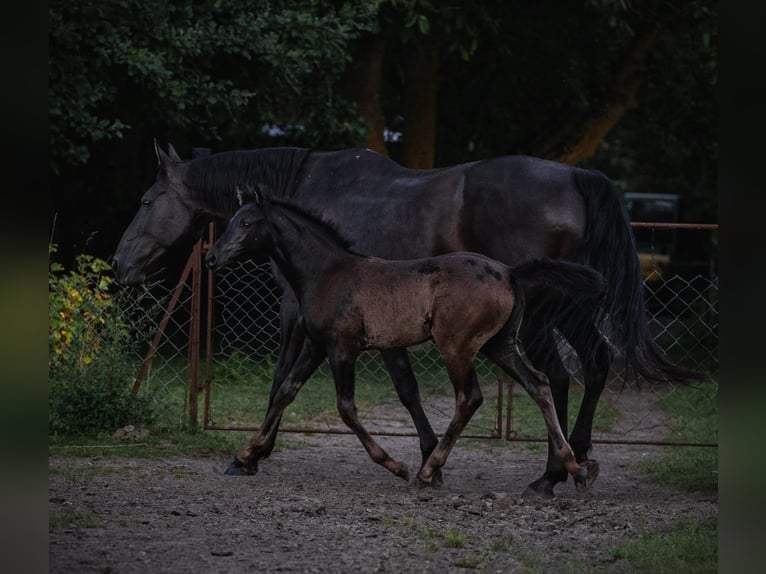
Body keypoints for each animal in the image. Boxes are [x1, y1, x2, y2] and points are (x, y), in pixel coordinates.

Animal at [207, 190, 608, 490]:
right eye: (230, 221)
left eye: (246, 223)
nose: (211, 257)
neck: (328, 273)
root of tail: (510, 272)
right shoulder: (315, 345)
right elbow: (285, 391)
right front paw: (244, 456)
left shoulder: (342, 349)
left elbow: (346, 408)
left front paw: (395, 465)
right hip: (499, 345)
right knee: (538, 384)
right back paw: (576, 469)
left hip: (457, 347)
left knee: (470, 397)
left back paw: (427, 472)